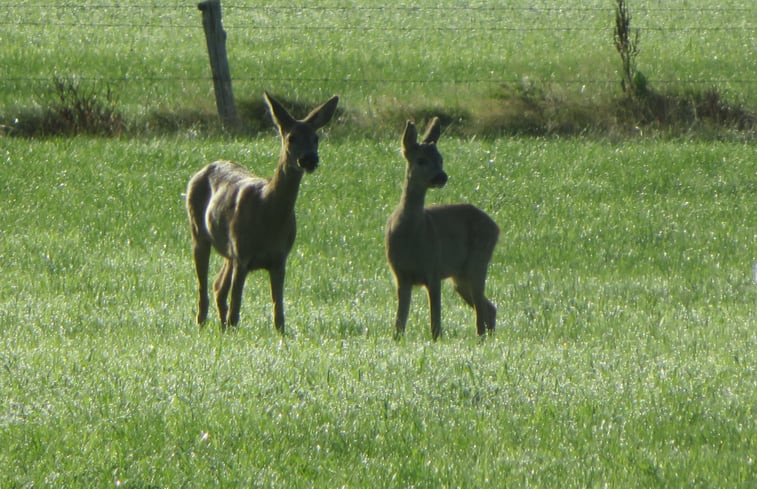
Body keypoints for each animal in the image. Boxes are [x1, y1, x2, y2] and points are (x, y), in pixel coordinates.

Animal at [186, 91, 336, 332]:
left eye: (316, 138)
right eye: (291, 138)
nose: (309, 159)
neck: (268, 213)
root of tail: (204, 168)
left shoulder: (279, 259)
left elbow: (279, 314)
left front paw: (280, 333)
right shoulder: (242, 254)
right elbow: (236, 310)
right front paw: (233, 331)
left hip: (228, 251)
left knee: (218, 287)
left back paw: (220, 327)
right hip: (200, 233)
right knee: (205, 289)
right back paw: (202, 324)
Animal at [386, 118, 500, 340]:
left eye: (440, 159)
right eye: (421, 160)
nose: (442, 176)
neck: (410, 233)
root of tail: (495, 226)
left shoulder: (434, 268)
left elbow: (435, 322)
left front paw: (436, 341)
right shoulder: (400, 274)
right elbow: (399, 324)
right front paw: (396, 340)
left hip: (478, 263)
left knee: (482, 311)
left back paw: (481, 340)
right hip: (459, 276)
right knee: (489, 308)